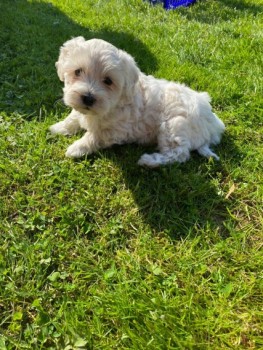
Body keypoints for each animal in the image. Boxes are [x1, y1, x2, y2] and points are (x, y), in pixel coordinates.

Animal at [50, 37, 226, 167]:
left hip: (174, 125)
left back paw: (149, 161)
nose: (88, 97)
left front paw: (76, 148)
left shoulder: (116, 130)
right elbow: (73, 117)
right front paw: (58, 127)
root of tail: (214, 126)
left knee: (179, 154)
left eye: (108, 81)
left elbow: (94, 136)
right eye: (77, 71)